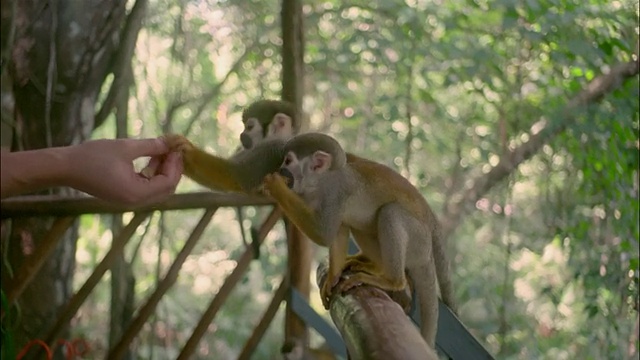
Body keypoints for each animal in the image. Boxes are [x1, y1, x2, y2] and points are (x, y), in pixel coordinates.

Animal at [262, 131, 456, 346]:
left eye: (288, 161)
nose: (280, 169)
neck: (319, 183)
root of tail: (428, 253)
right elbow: (338, 231)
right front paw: (333, 278)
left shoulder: (336, 194)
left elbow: (324, 233)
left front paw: (275, 186)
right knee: (361, 224)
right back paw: (374, 266)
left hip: (418, 240)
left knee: (389, 213)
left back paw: (392, 281)